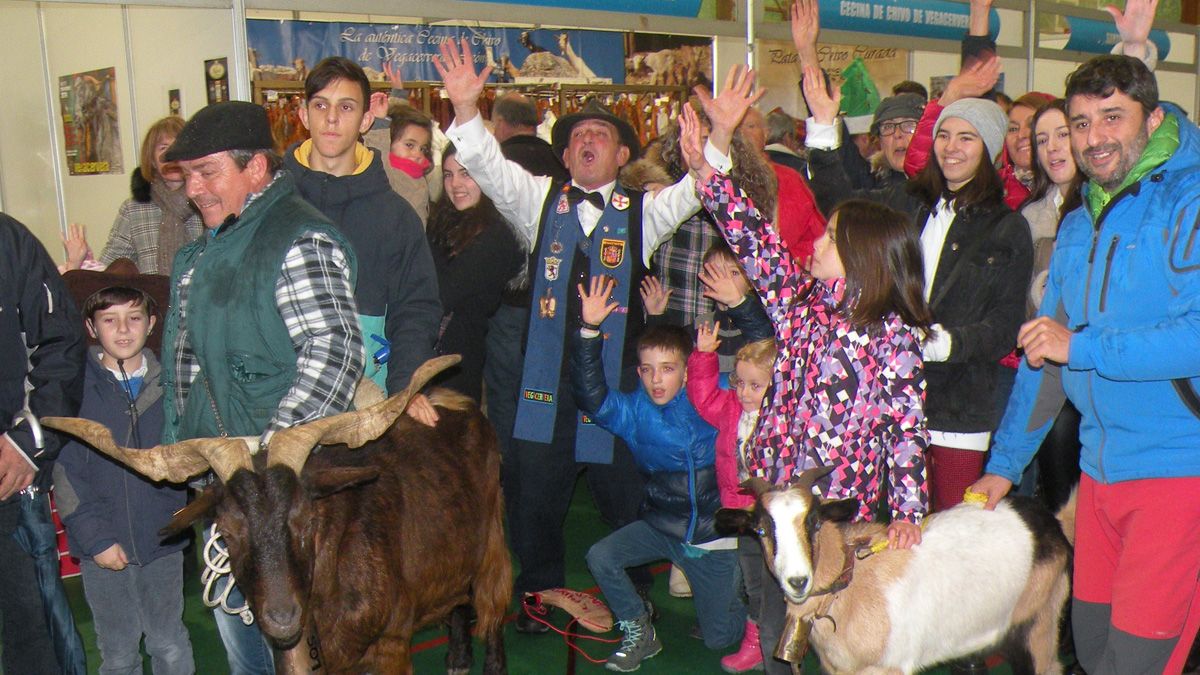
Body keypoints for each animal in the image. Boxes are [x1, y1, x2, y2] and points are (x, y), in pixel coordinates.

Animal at [42, 355, 508, 667]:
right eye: (227, 531)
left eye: (306, 522)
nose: (283, 616)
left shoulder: (391, 641)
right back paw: (457, 657)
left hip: (493, 545)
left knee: (492, 608)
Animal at [715, 466, 1075, 672]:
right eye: (761, 529)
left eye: (814, 521)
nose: (798, 581)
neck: (853, 585)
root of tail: (1054, 523)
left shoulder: (889, 666)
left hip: (1040, 624)